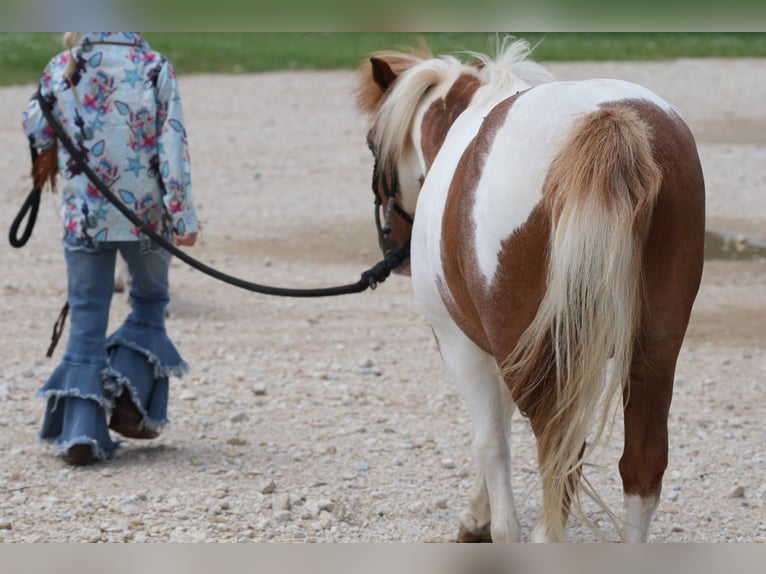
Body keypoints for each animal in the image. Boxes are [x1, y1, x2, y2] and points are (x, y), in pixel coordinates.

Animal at [356, 39, 705, 542]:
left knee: (559, 465)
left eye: (371, 143)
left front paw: (485, 522)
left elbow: (491, 443)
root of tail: (607, 121)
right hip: (654, 352)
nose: (392, 249)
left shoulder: (463, 346)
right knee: (642, 469)